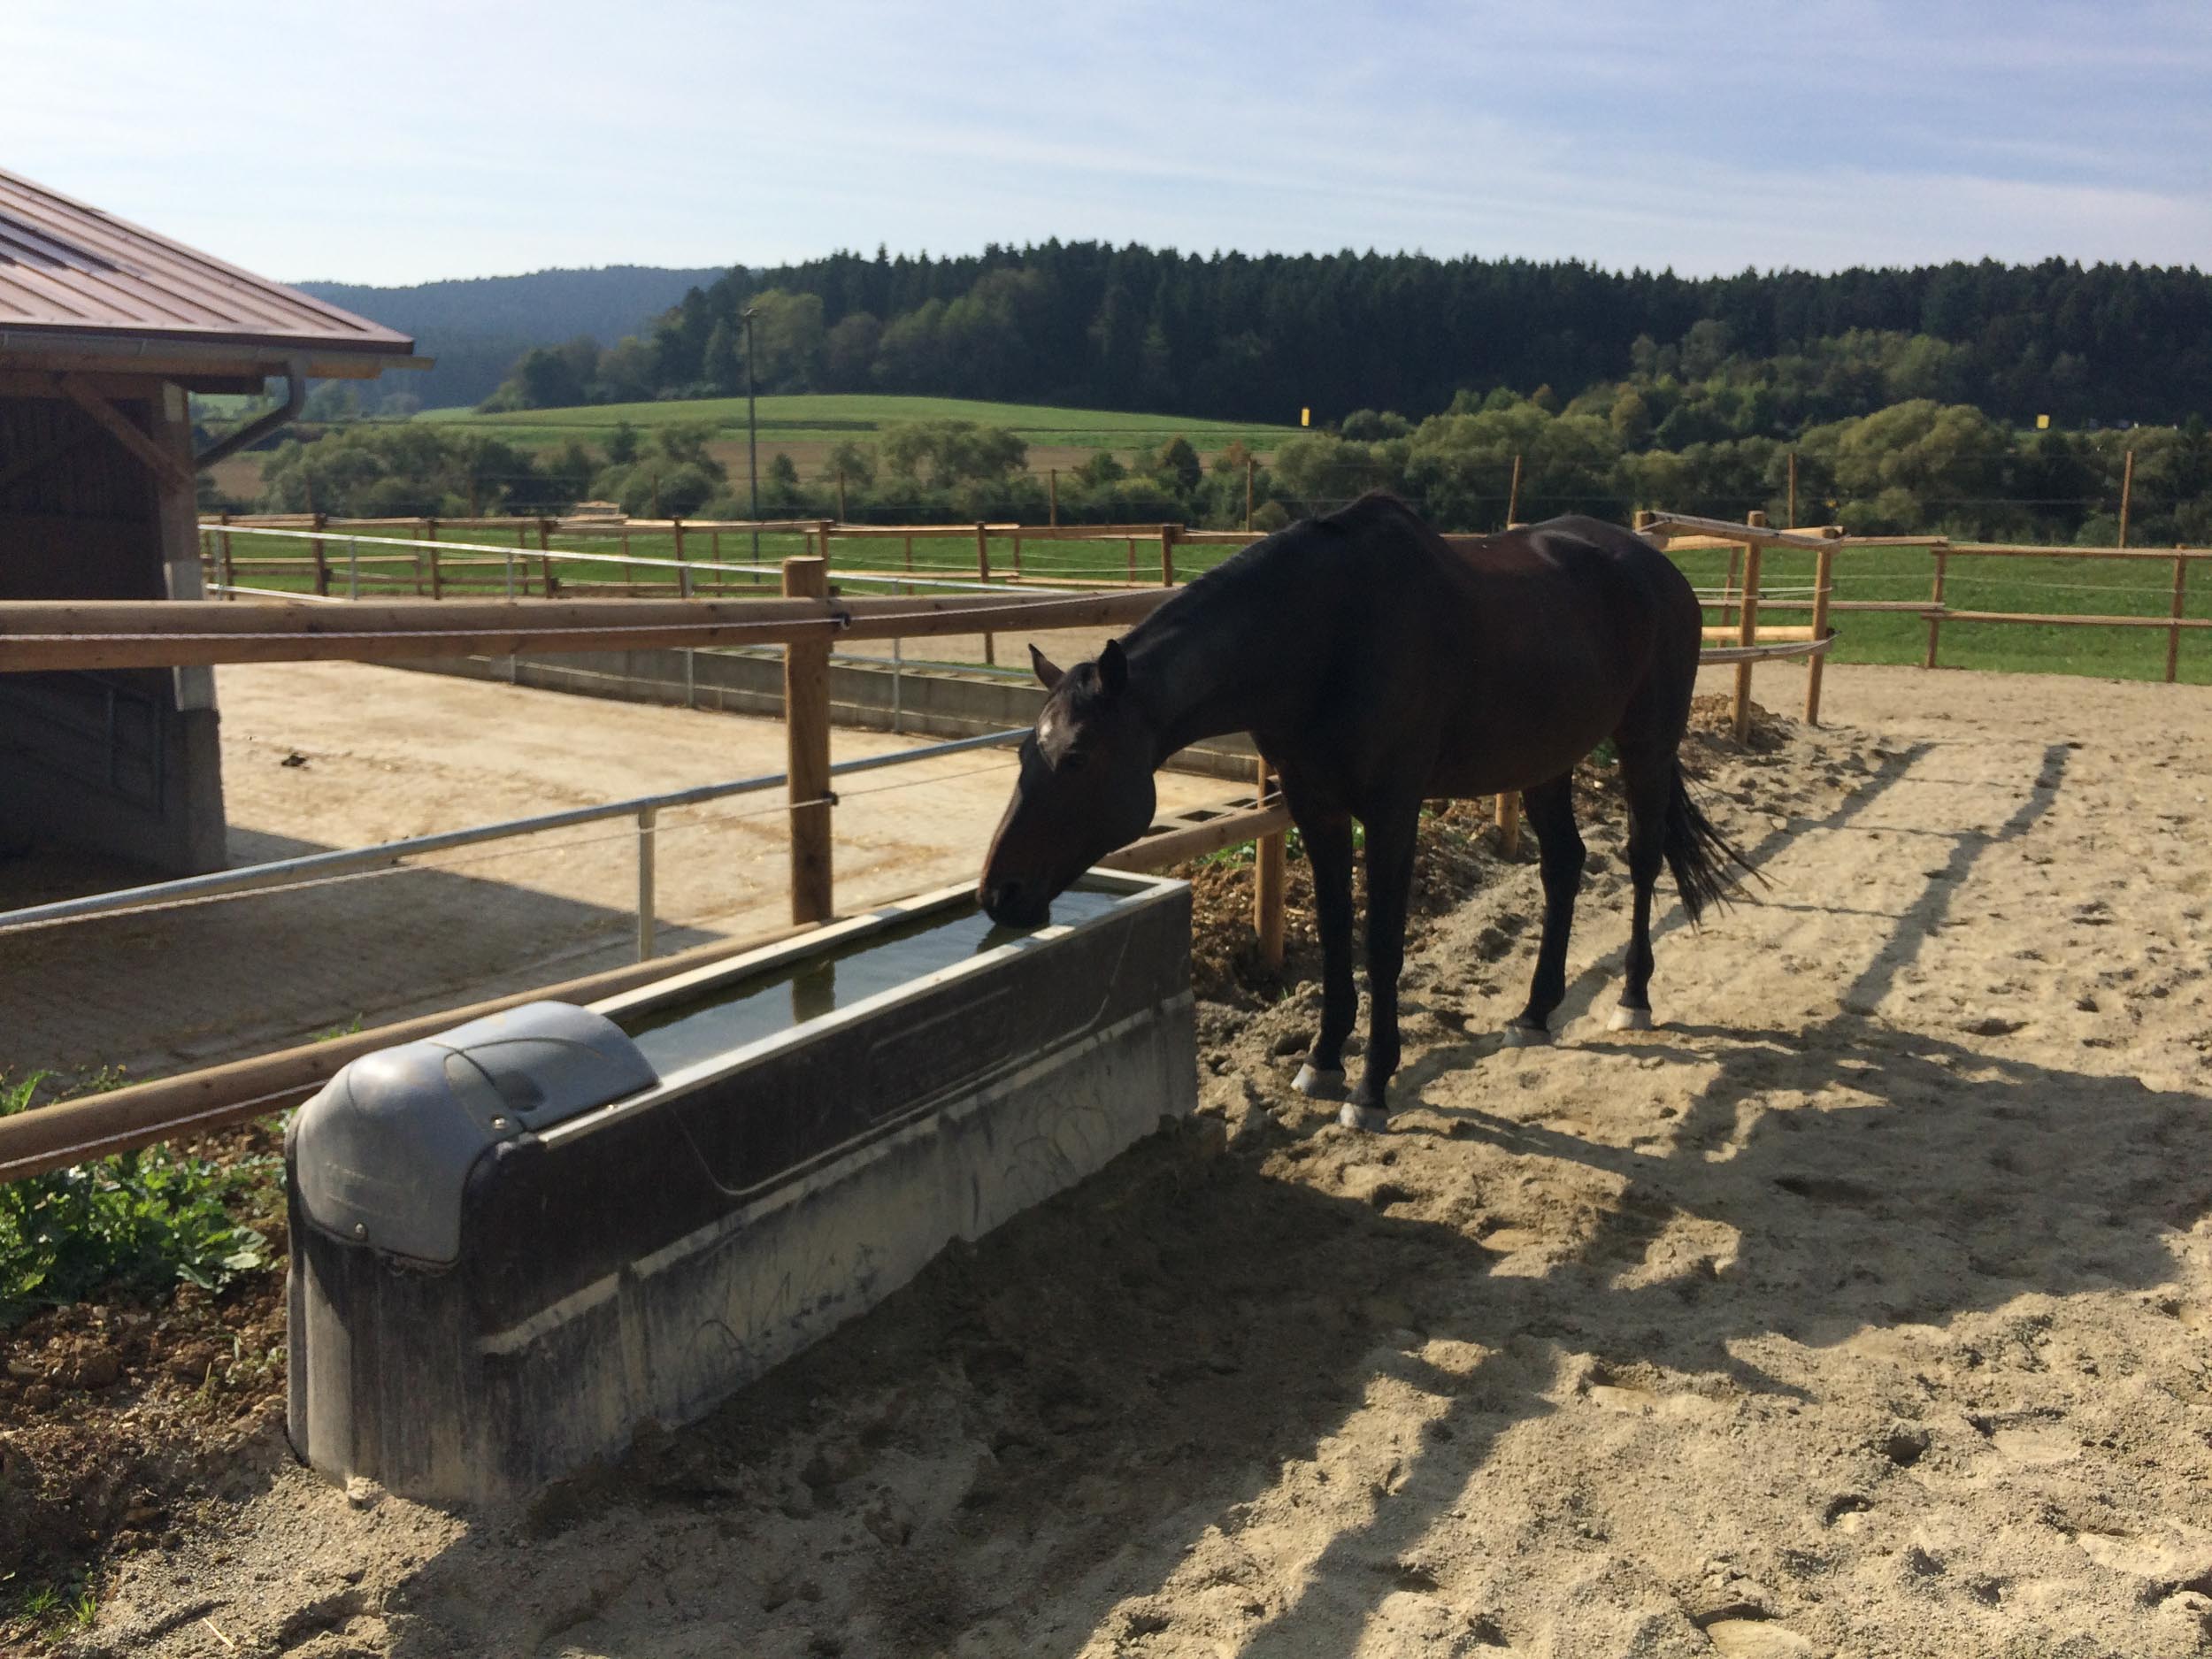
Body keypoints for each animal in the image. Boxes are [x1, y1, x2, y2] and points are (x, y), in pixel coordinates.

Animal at [978, 493, 1751, 1132]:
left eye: (1077, 757)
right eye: (1023, 751)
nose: (998, 892)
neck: (1328, 635)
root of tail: (1660, 570)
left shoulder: (1390, 809)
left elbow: (1381, 940)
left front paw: (1372, 1085)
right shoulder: (1315, 806)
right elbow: (1332, 932)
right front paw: (1322, 1060)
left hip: (1645, 743)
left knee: (1643, 858)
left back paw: (1633, 996)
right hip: (1547, 763)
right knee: (1564, 865)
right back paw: (1535, 1011)